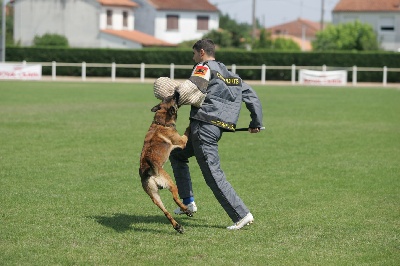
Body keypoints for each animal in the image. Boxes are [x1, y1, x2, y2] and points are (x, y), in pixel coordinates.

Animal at [139, 91, 192, 233]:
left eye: (169, 96)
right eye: (173, 97)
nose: (177, 91)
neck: (161, 122)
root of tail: (149, 172)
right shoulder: (182, 141)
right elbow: (187, 130)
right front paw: (191, 122)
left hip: (154, 197)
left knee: (166, 212)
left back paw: (178, 226)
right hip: (171, 183)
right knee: (175, 198)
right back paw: (186, 210)